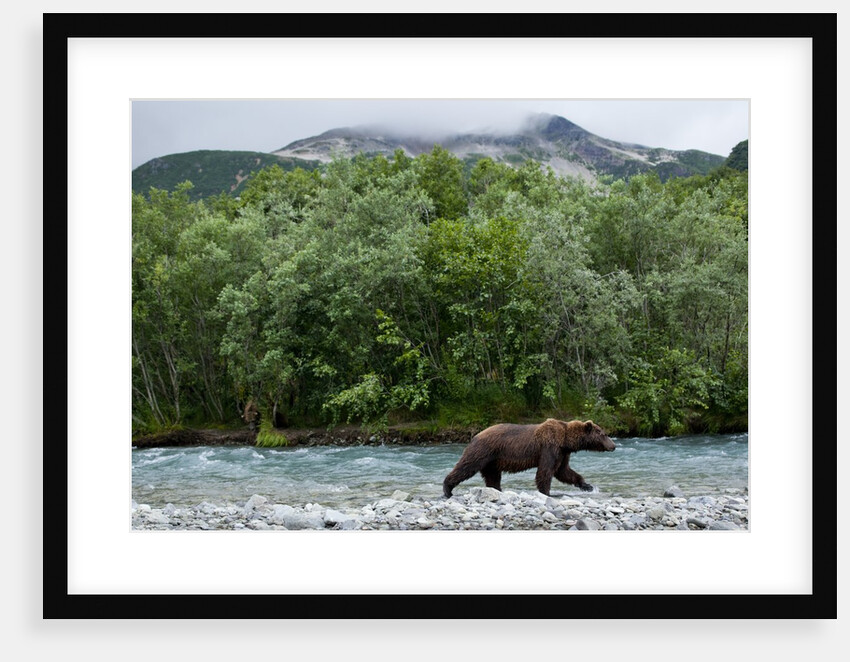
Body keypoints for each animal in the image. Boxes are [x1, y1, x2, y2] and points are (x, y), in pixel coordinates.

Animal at [442, 418, 615, 497]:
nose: (613, 445)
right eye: (604, 434)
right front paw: (547, 493)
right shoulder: (549, 447)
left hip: (492, 460)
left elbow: (564, 471)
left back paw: (497, 490)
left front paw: (587, 485)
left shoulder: (563, 453)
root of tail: (475, 435)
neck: (565, 440)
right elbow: (545, 471)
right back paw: (447, 488)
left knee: (492, 476)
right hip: (483, 451)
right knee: (466, 466)